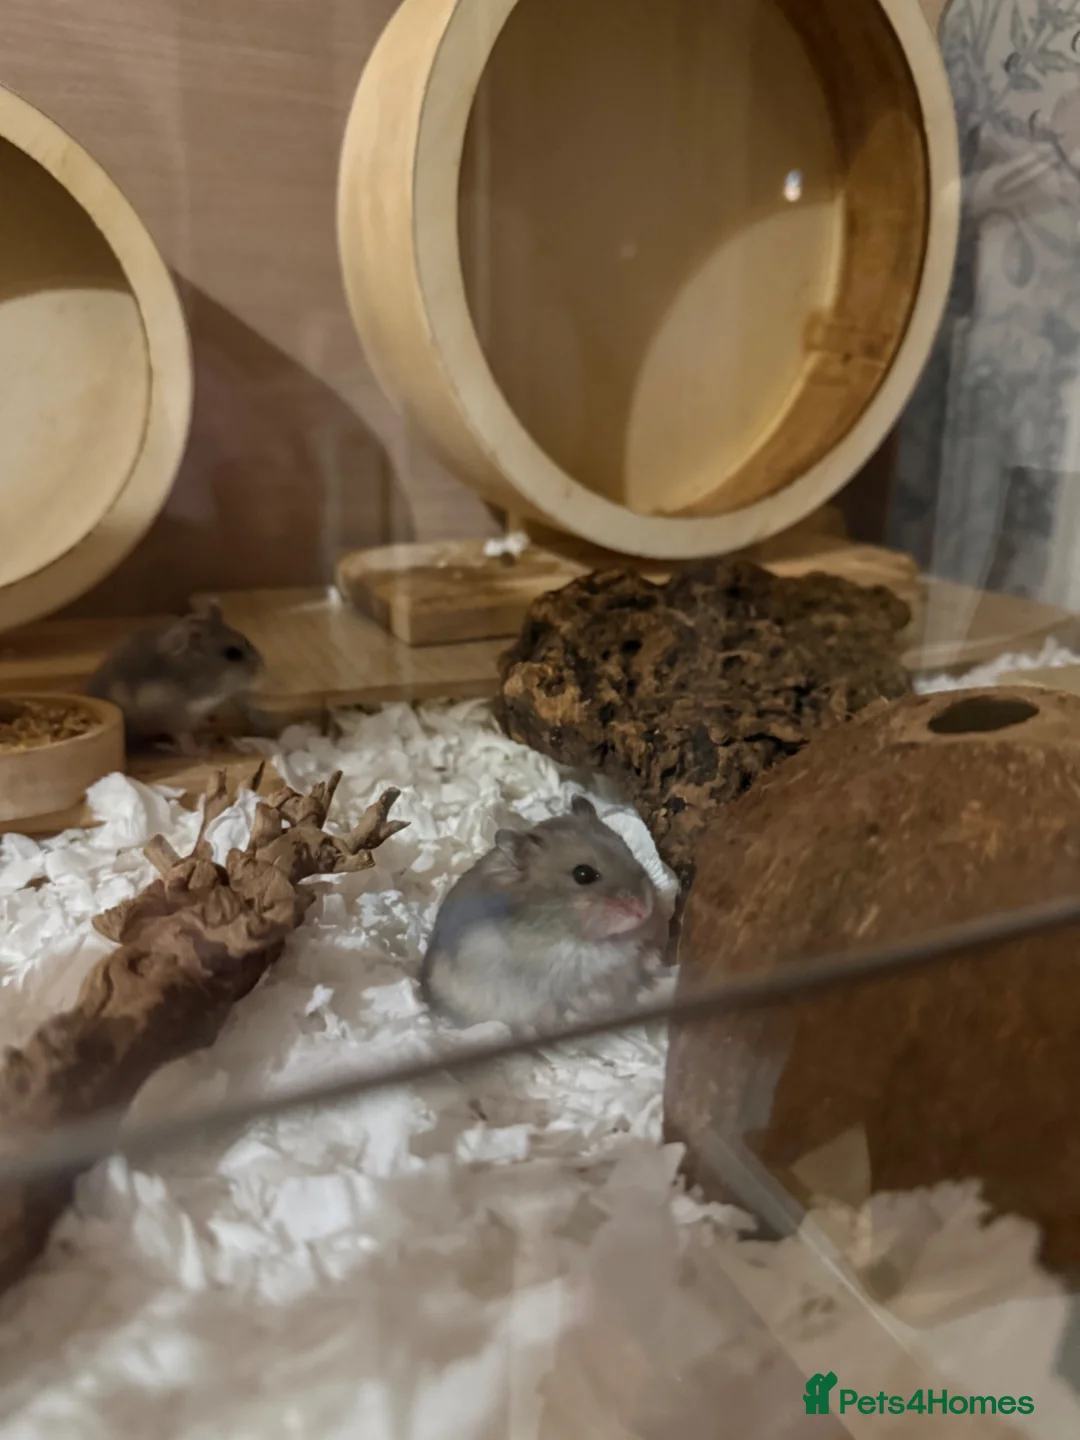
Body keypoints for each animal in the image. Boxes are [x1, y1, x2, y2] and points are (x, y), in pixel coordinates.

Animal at [85, 601, 264, 751]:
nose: (261, 667)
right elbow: (185, 741)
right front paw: (202, 749)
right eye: (232, 653)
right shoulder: (176, 717)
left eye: (246, 640)